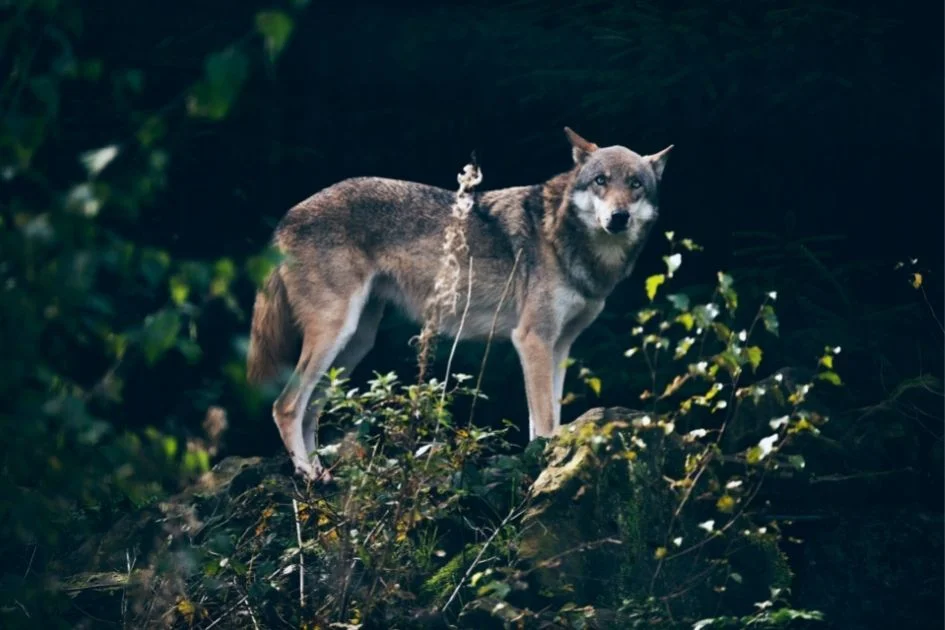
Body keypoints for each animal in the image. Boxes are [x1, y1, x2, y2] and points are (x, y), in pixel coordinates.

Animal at [243, 128, 672, 484]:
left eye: (635, 184)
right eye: (601, 181)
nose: (618, 217)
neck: (570, 243)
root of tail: (287, 217)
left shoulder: (560, 346)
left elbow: (548, 415)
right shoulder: (531, 340)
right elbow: (546, 420)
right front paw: (546, 465)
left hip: (354, 344)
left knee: (310, 408)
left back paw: (320, 472)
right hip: (335, 335)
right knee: (285, 406)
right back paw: (307, 473)